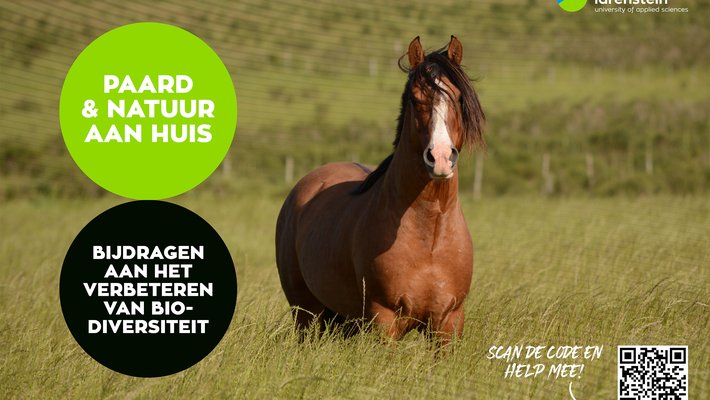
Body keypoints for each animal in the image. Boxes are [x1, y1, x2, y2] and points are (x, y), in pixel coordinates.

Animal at [275, 36, 485, 344]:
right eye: (415, 99)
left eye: (458, 98)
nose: (441, 157)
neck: (430, 237)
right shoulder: (384, 320)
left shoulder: (449, 323)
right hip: (306, 314)